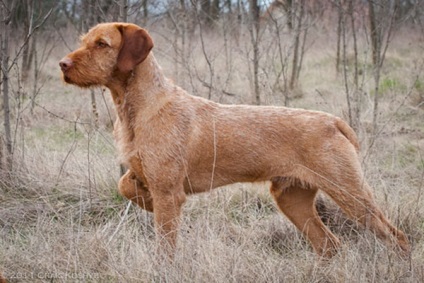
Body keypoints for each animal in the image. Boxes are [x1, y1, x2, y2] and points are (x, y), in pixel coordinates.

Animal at [59, 23, 410, 258]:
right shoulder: (146, 175)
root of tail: (332, 121)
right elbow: (124, 186)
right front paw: (143, 202)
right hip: (292, 198)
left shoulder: (168, 191)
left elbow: (165, 243)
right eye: (83, 42)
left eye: (102, 44)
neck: (139, 107)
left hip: (350, 194)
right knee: (329, 244)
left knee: (396, 236)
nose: (63, 64)